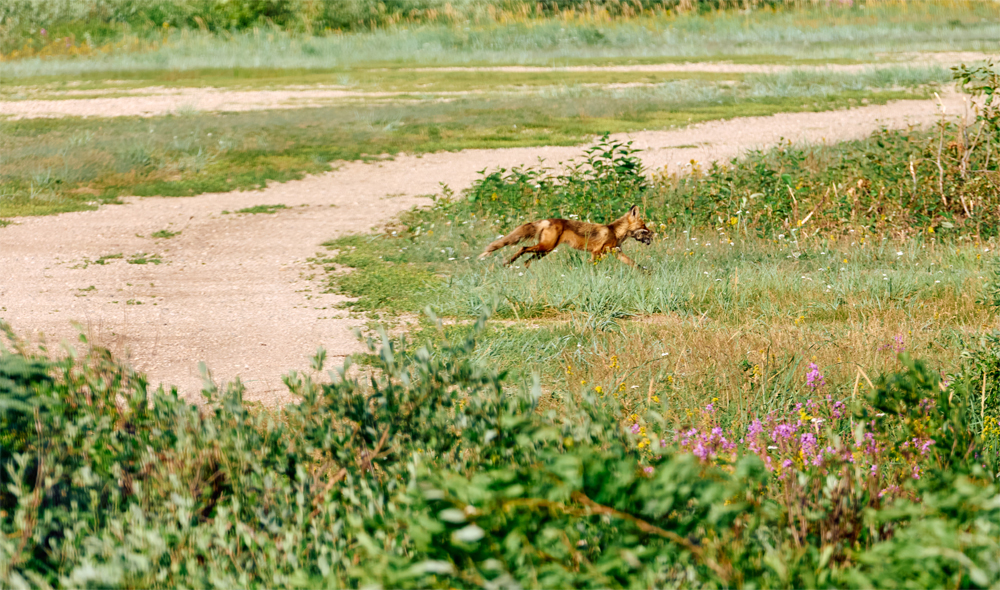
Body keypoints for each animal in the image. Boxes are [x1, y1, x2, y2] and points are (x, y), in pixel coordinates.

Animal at [478, 205, 653, 268]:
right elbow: (592, 266)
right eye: (644, 226)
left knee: (527, 260)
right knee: (522, 248)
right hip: (545, 247)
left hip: (544, 251)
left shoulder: (616, 253)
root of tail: (546, 220)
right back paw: (508, 263)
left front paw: (648, 274)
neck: (615, 232)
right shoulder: (597, 252)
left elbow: (635, 265)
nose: (652, 234)